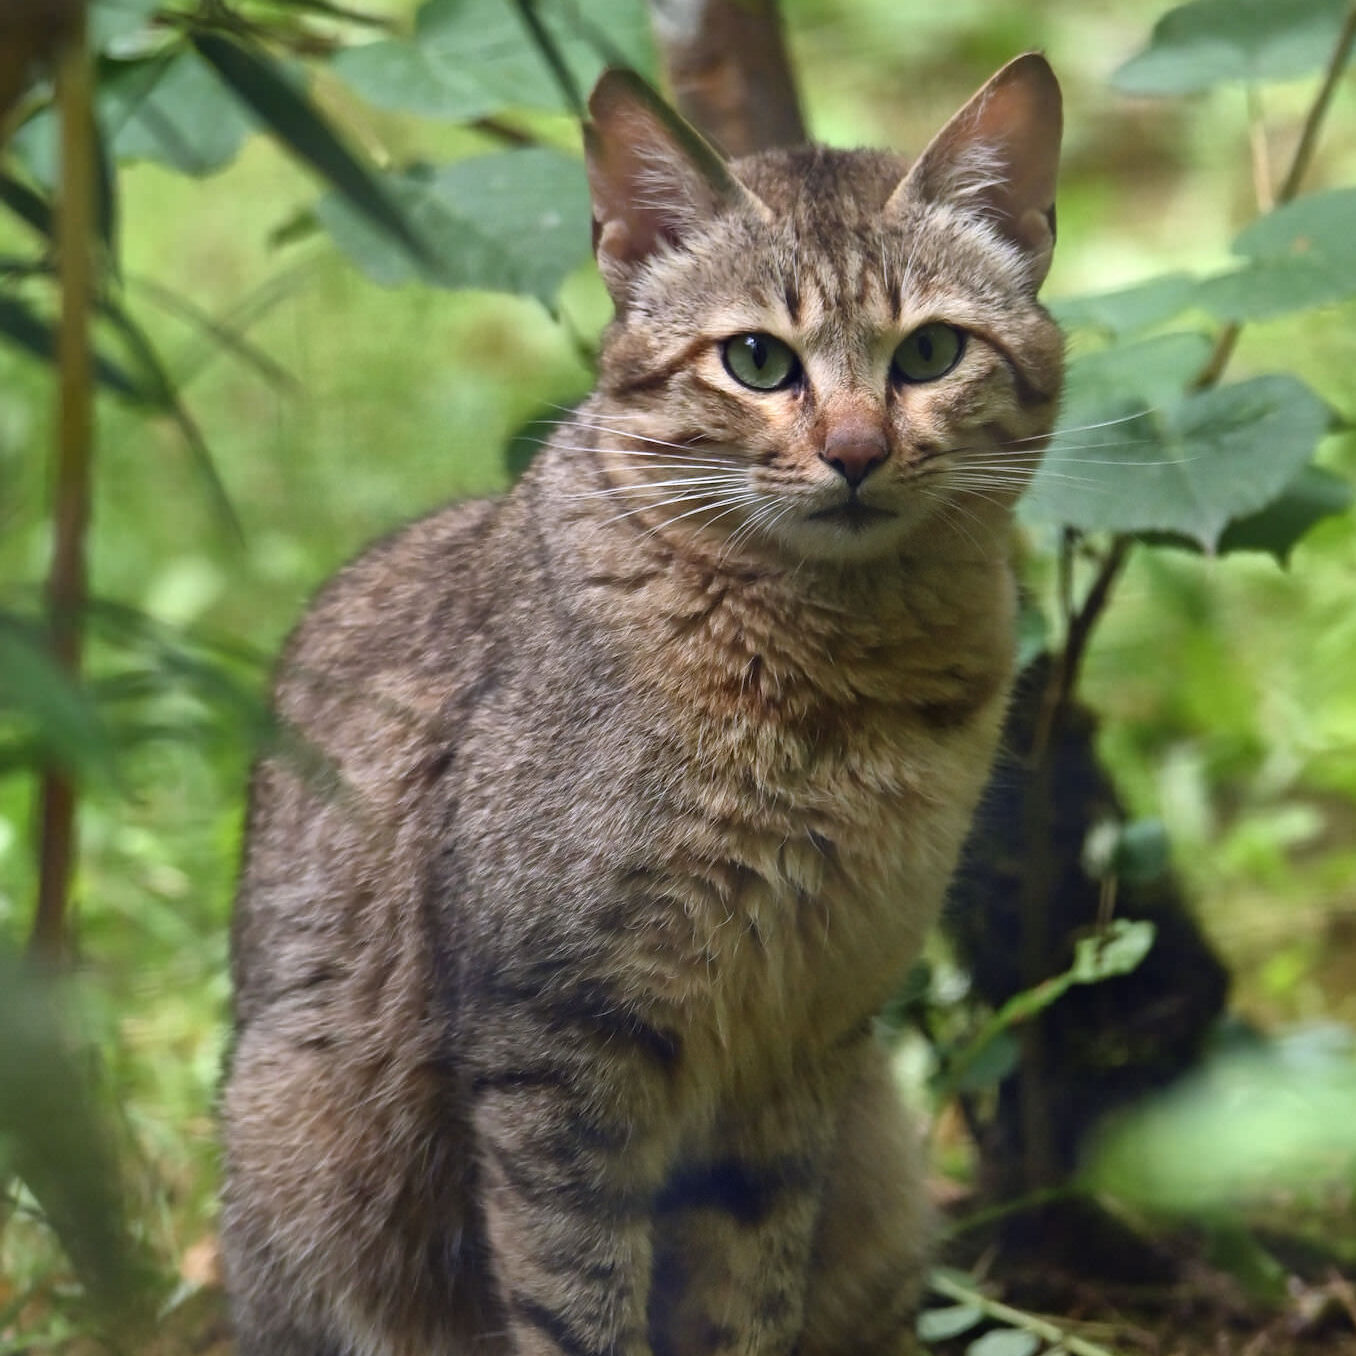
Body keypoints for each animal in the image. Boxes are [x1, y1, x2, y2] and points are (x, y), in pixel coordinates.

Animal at [222, 52, 1063, 1356]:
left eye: (929, 352)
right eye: (759, 361)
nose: (857, 451)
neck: (836, 688)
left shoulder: (808, 1030)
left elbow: (750, 1290)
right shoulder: (558, 1036)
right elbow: (576, 1297)